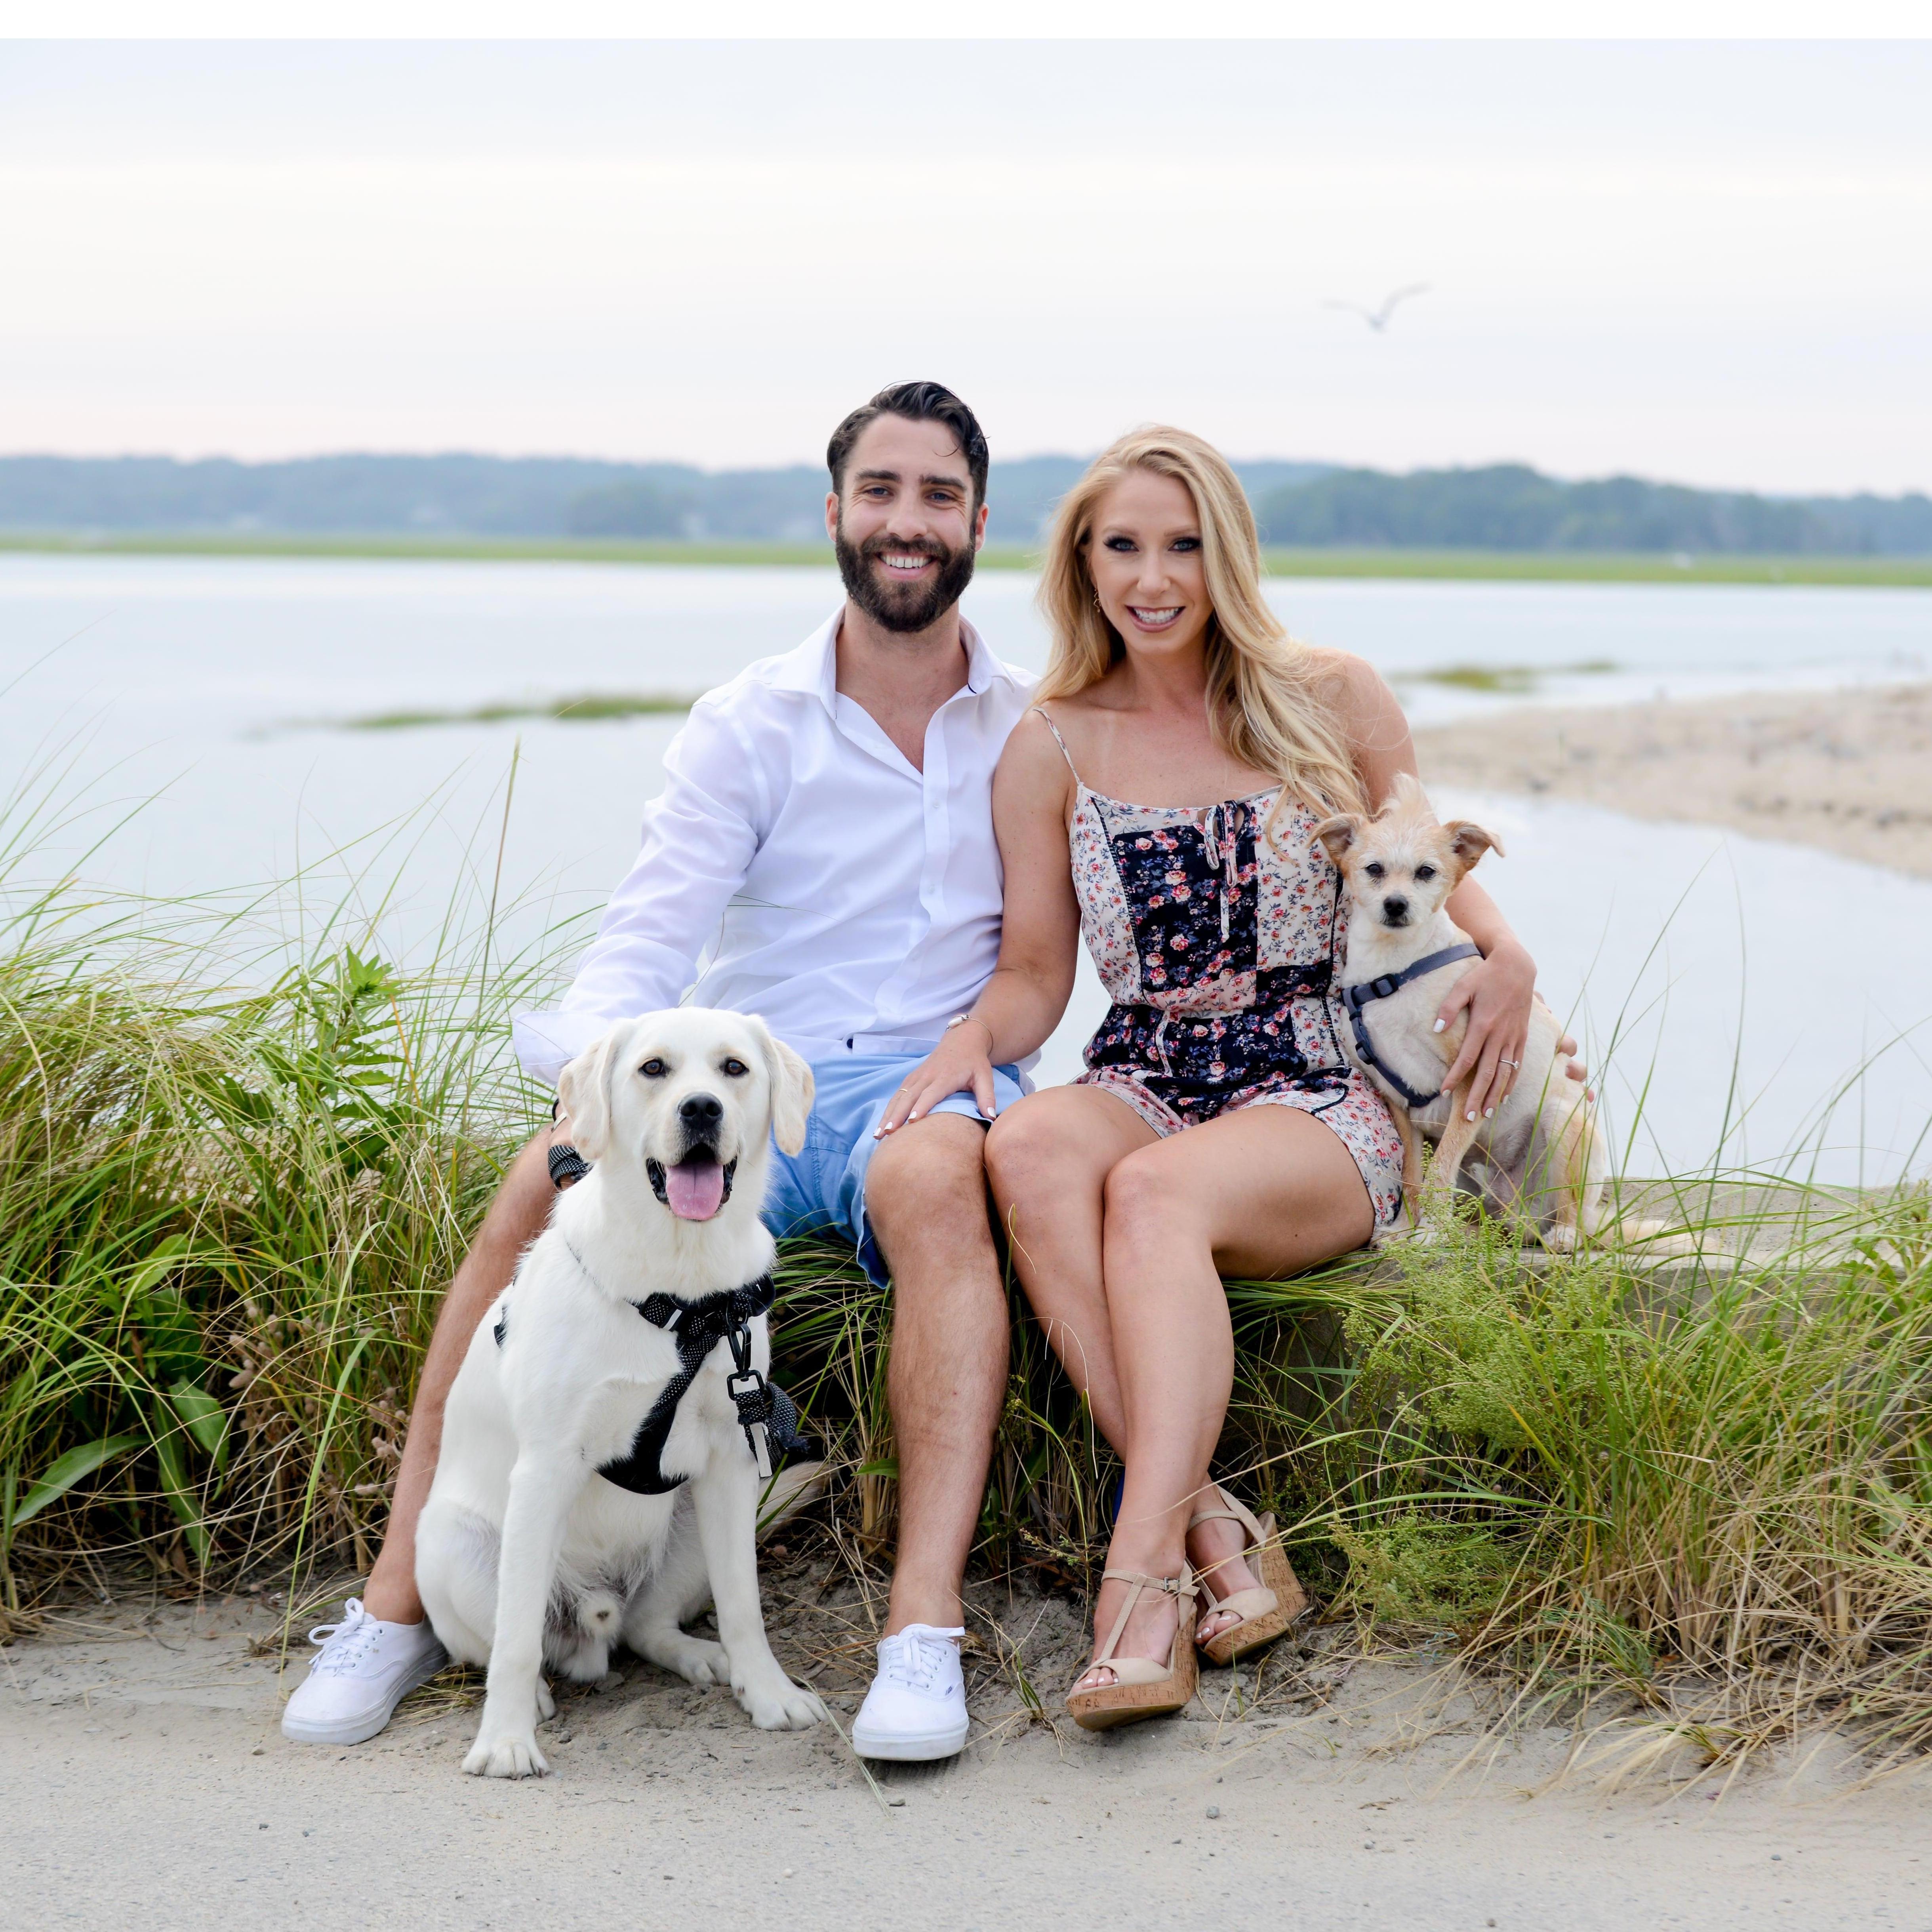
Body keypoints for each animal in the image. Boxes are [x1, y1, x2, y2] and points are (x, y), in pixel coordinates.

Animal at [415, 1007, 826, 1779]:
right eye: (653, 1068)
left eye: (733, 1068)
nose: (701, 1109)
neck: (683, 1293)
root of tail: (593, 1617)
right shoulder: (546, 1466)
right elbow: (515, 1640)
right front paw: (505, 1741)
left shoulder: (731, 1459)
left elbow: (745, 1605)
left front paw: (769, 1692)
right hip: (455, 1545)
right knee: (504, 1641)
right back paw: (531, 1701)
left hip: (694, 1522)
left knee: (644, 1625)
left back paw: (700, 1656)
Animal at [1315, 775, 1607, 1249]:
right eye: (1374, 869)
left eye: (1426, 872)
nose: (1396, 905)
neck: (1395, 973)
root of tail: (1515, 1206)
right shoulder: (1398, 1101)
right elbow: (1413, 1176)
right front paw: (1405, 1230)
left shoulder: (1472, 1084)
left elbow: (1439, 1170)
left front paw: (1430, 1233)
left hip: (1564, 1124)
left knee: (1573, 1211)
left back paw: (1563, 1233)